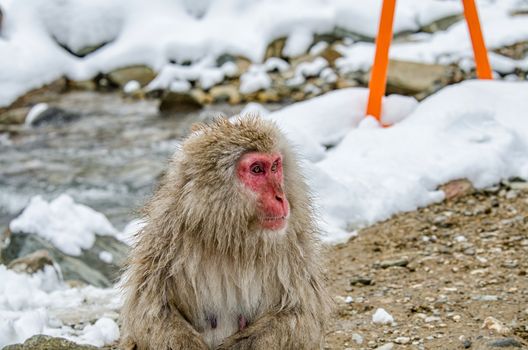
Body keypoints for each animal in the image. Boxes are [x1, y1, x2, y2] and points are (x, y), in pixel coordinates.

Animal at [121, 116, 332, 348]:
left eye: (275, 166)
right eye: (257, 169)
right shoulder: (164, 243)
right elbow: (152, 313)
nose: (280, 197)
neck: (230, 239)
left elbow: (301, 314)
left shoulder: (294, 247)